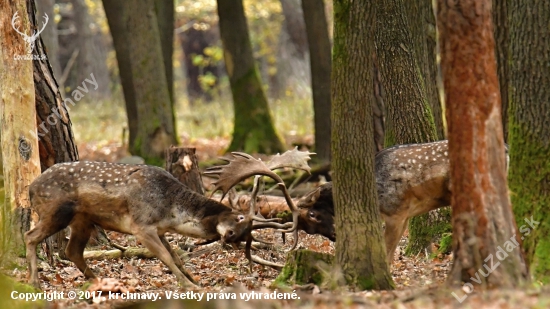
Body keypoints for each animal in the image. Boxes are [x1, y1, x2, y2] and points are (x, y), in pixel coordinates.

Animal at [25, 148, 312, 288]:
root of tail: (30, 187)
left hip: (82, 219)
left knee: (72, 250)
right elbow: (166, 257)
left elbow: (177, 256)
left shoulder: (160, 229)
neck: (170, 209)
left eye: (245, 237)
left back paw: (98, 281)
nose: (230, 236)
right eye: (240, 217)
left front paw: (195, 280)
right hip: (56, 210)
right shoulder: (141, 225)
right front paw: (189, 285)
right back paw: (35, 282)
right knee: (31, 236)